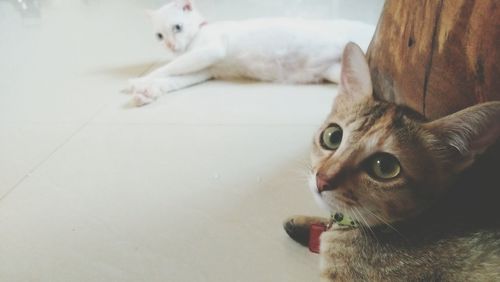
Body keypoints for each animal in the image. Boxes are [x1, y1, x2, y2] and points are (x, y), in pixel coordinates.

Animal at [129, 0, 376, 105]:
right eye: (159, 36)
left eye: (177, 28)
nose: (170, 46)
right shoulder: (204, 70)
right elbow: (173, 78)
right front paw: (147, 91)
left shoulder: (209, 51)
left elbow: (167, 68)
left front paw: (138, 81)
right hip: (340, 71)